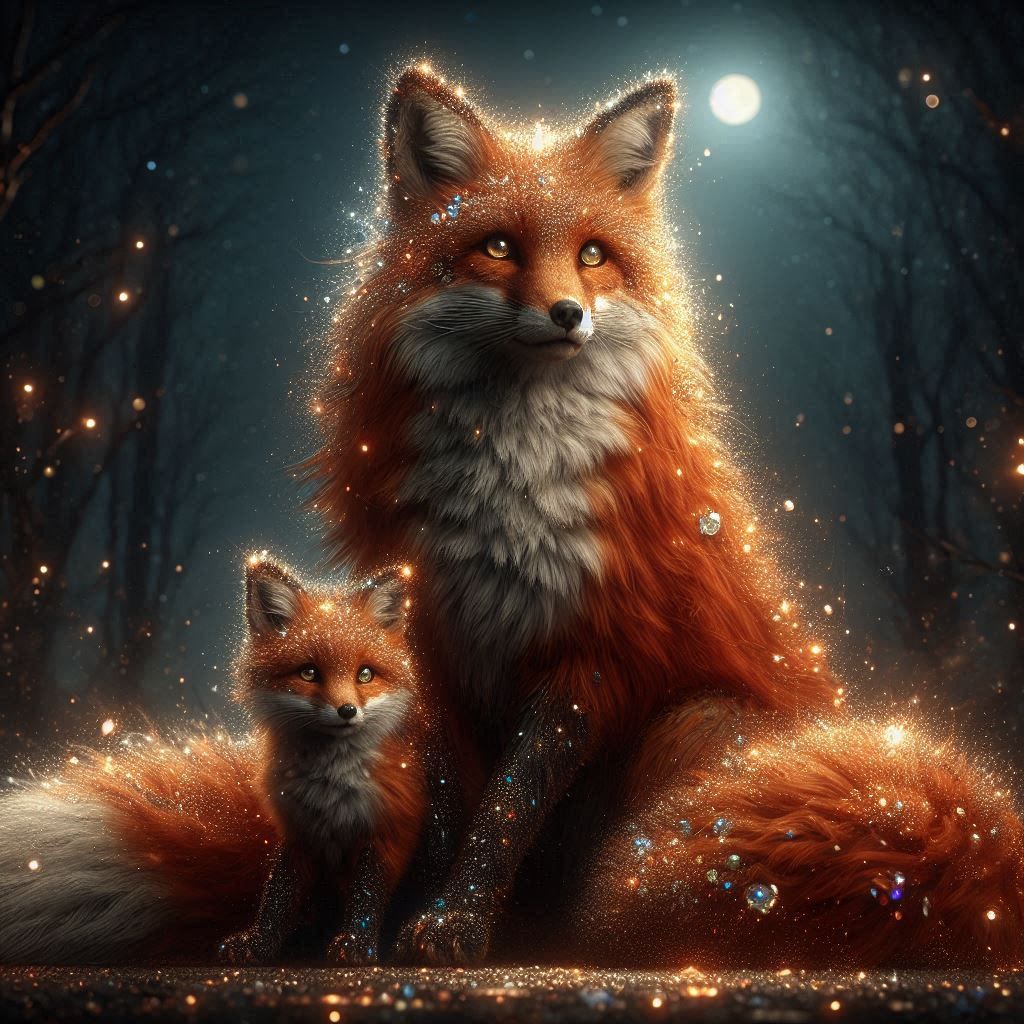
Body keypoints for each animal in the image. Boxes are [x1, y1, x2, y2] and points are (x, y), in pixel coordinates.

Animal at [0, 555, 460, 964]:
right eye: (308, 673)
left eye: (365, 675)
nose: (347, 711)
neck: (331, 786)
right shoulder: (298, 832)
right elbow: (277, 896)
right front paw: (258, 944)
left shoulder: (389, 830)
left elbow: (367, 897)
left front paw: (354, 944)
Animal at [306, 63, 844, 963]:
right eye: (497, 247)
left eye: (592, 255)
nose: (568, 313)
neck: (508, 501)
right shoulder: (426, 646)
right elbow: (446, 804)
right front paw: (400, 917)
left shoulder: (594, 655)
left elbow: (505, 810)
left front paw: (455, 922)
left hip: (700, 724)